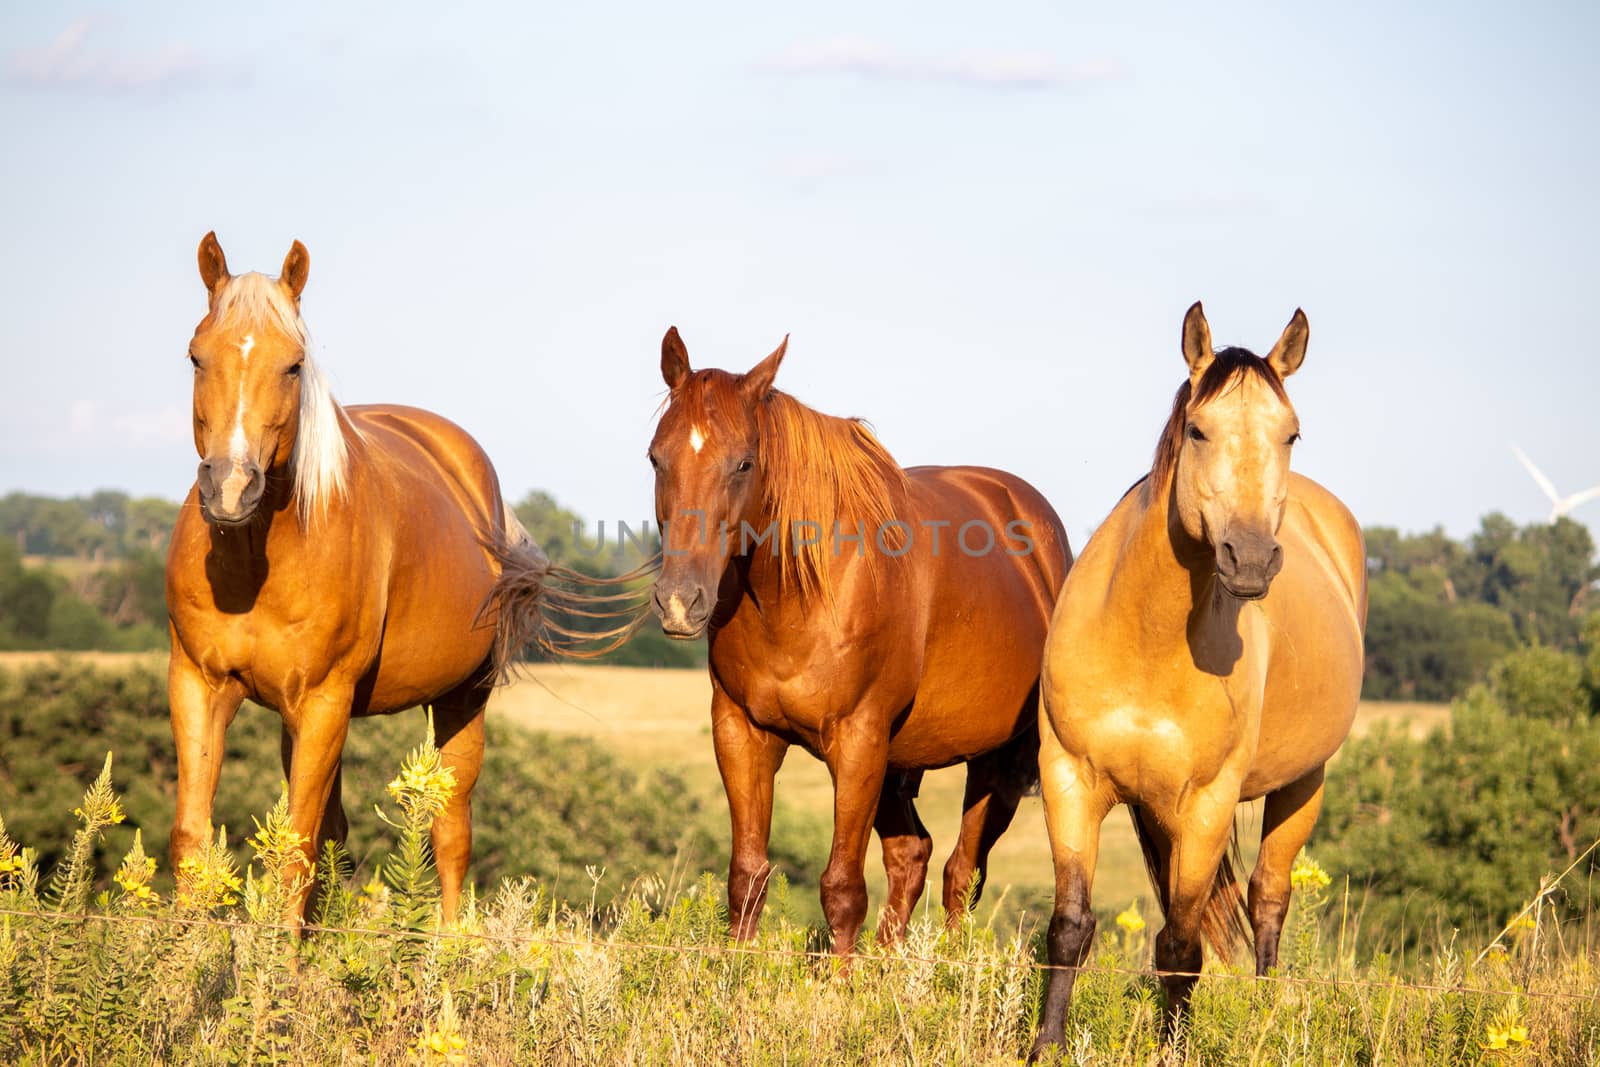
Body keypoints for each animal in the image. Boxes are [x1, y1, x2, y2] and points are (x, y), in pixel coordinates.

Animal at [168, 233, 556, 921]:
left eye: (293, 365)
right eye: (195, 356)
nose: (231, 488)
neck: (255, 565)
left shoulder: (325, 699)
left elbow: (297, 842)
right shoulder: (198, 683)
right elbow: (196, 832)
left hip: (461, 699)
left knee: (450, 831)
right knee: (337, 830)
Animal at [643, 329, 1068, 947]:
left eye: (743, 463)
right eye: (656, 457)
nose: (680, 602)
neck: (797, 599)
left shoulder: (858, 741)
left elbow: (842, 890)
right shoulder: (742, 733)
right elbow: (747, 877)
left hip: (997, 764)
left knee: (962, 874)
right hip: (900, 761)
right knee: (913, 857)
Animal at [1030, 302, 1369, 1062]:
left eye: (1291, 432)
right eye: (1198, 428)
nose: (1250, 557)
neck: (1145, 638)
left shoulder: (1207, 806)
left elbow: (1181, 947)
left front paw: (1172, 1046)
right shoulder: (1071, 779)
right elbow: (1069, 927)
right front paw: (1045, 1045)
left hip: (1304, 783)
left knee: (1268, 900)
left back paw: (1268, 1015)